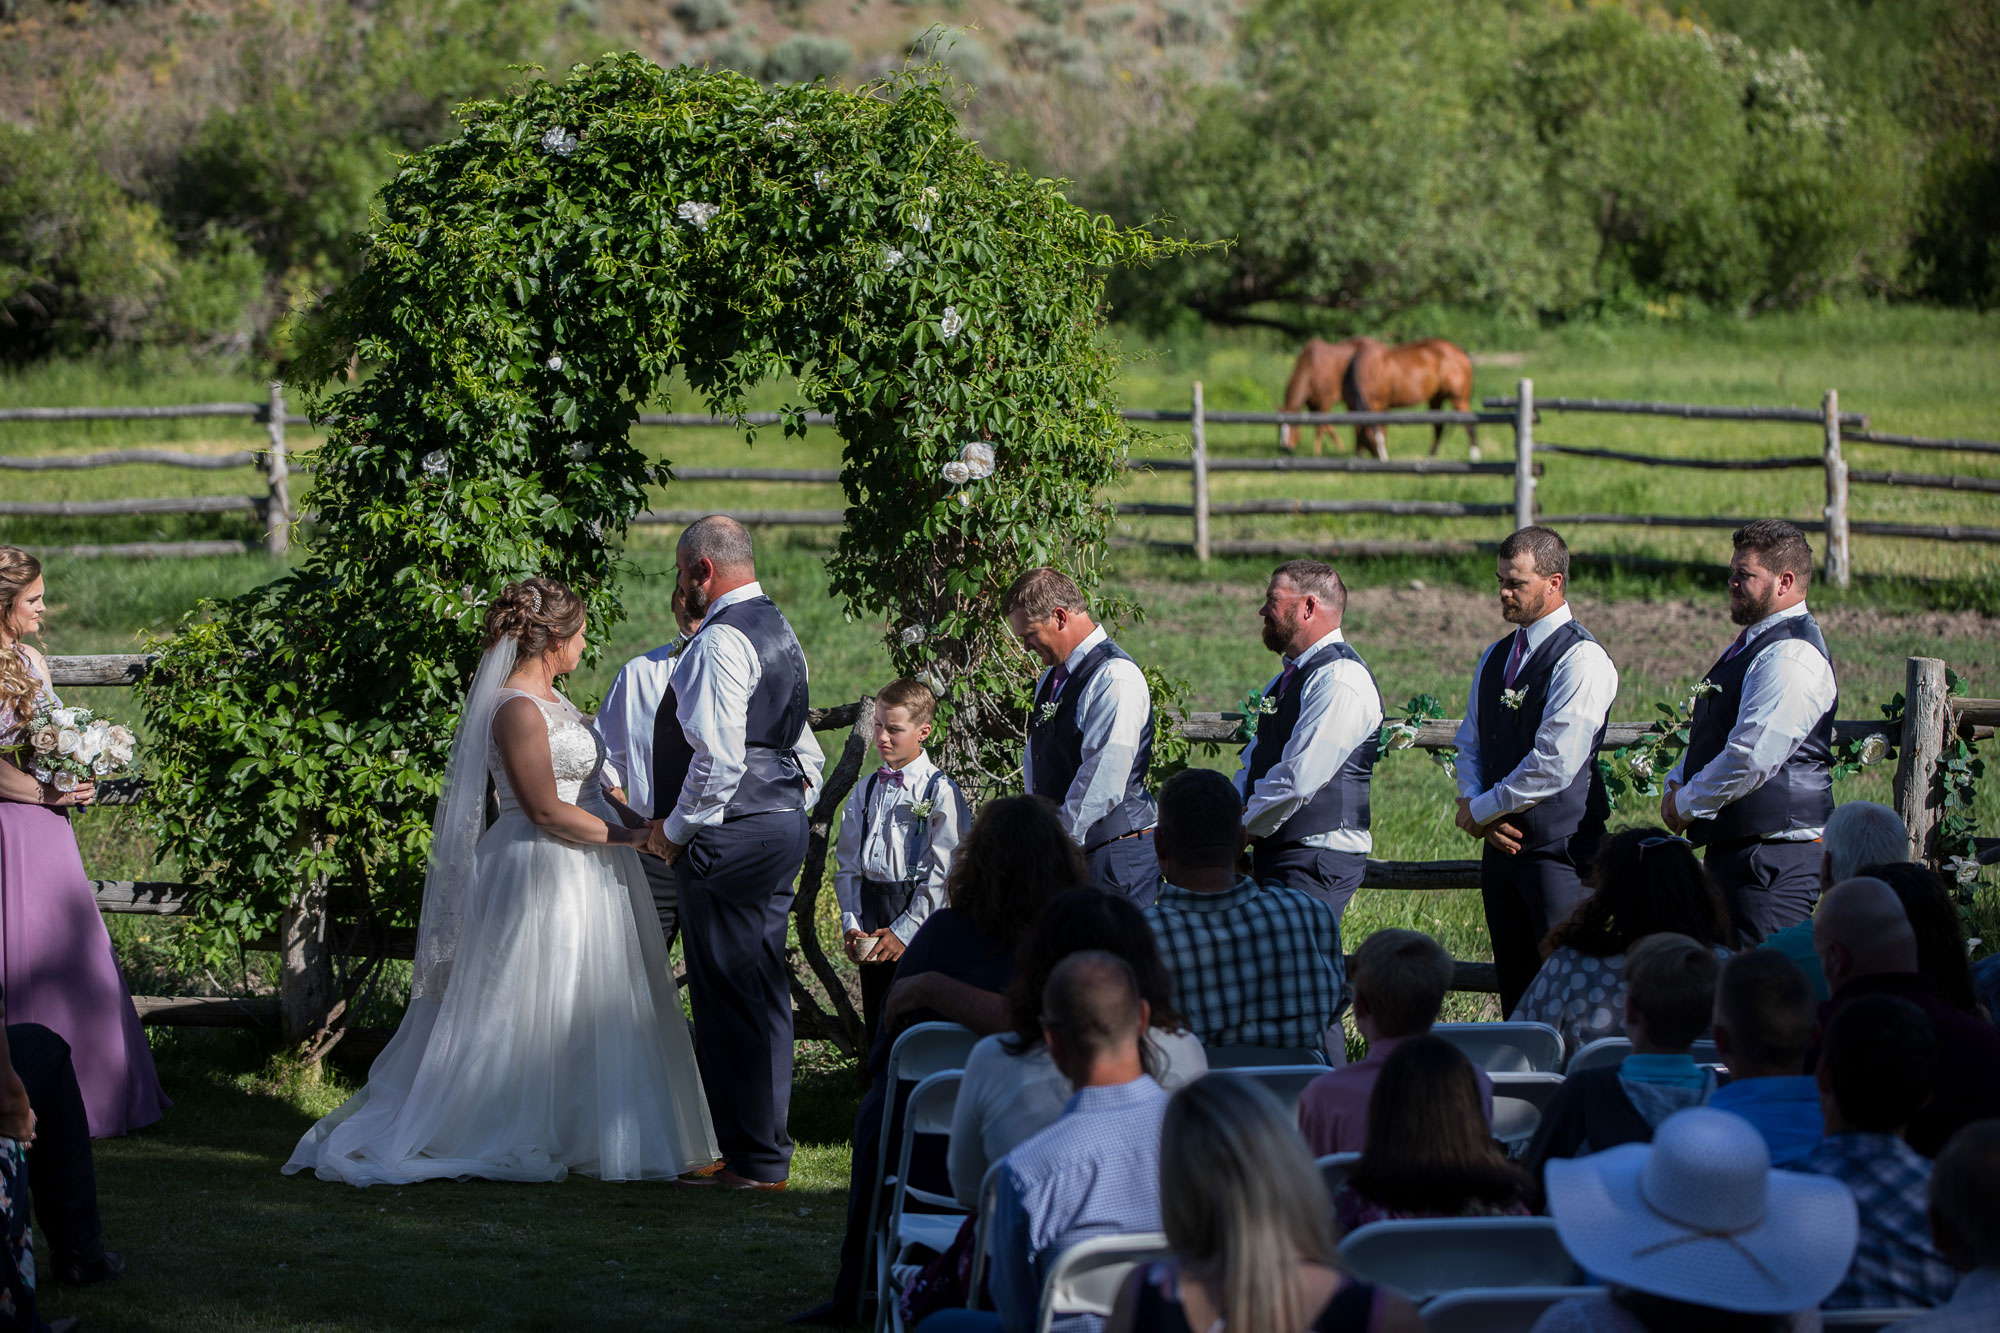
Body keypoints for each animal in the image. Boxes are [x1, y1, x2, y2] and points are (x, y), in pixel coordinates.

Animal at [1342, 337, 1478, 460]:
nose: (1383, 459)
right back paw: (1431, 457)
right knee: (1439, 427)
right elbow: (1366, 430)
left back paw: (1475, 456)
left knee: (1470, 426)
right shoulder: (1370, 407)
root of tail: (1460, 351)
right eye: (1370, 442)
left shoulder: (1379, 404)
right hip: (1436, 399)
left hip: (1459, 399)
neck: (1369, 370)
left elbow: (1380, 429)